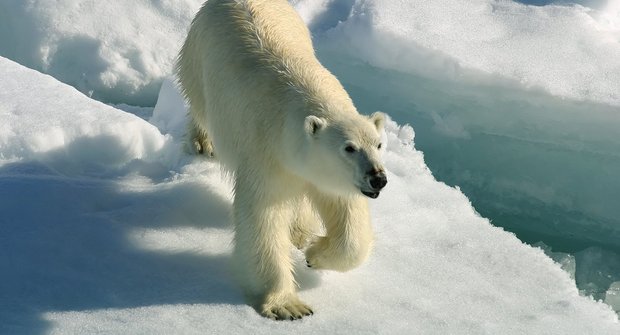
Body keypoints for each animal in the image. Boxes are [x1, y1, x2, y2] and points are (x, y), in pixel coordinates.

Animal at [177, 0, 386, 322]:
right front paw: (288, 305)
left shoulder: (327, 173)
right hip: (198, 58)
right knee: (200, 106)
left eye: (378, 144)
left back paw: (301, 233)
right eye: (348, 148)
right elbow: (262, 216)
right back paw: (203, 142)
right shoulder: (266, 152)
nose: (378, 178)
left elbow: (347, 216)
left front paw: (314, 253)